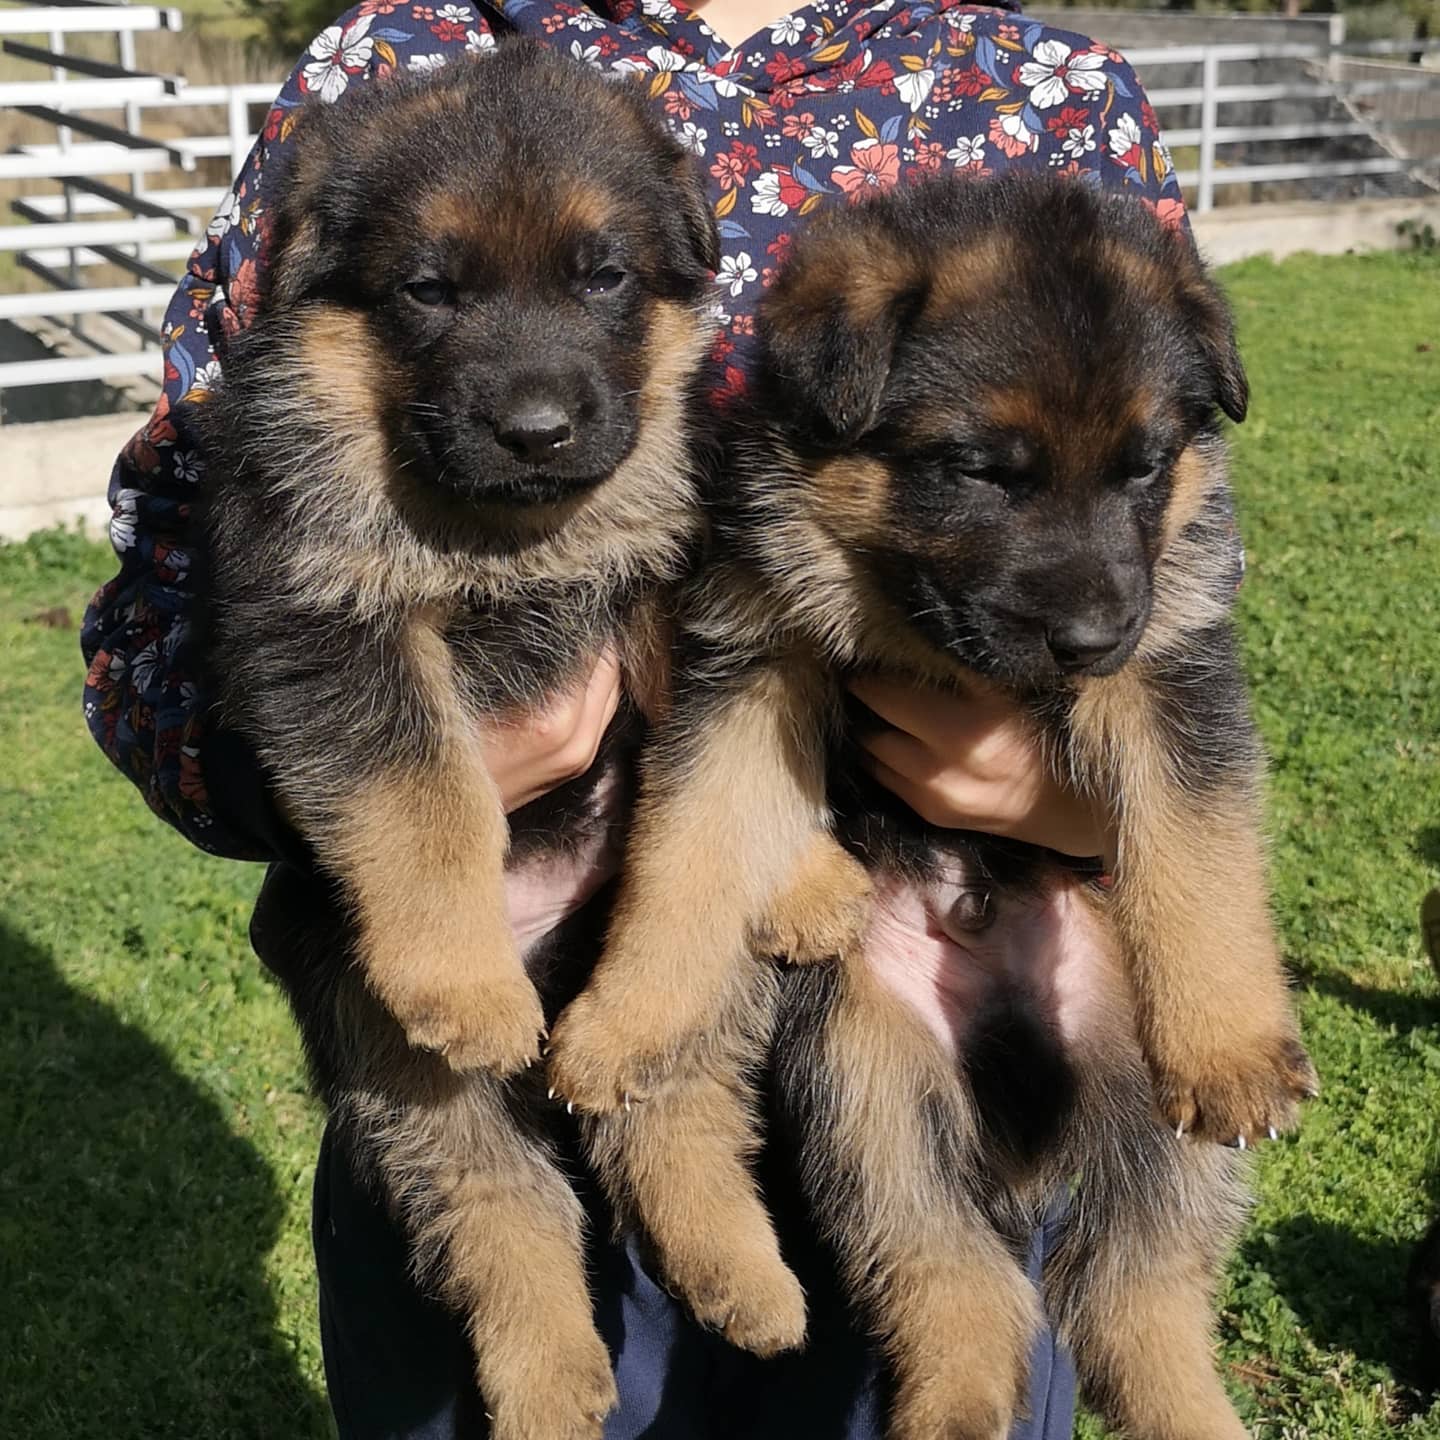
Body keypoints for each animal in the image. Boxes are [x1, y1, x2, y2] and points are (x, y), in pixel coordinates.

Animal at [200, 45, 717, 1440]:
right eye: (428, 290)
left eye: (603, 276)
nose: (538, 428)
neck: (507, 534)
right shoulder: (330, 625)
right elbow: (426, 796)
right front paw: (462, 977)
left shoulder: (660, 574)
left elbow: (721, 738)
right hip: (393, 1059)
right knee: (503, 1209)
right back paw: (554, 1379)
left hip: (619, 989)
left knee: (655, 1090)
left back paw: (734, 1267)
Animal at [544, 174, 1319, 1434]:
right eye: (983, 470)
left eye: (1145, 467)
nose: (1095, 638)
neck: (922, 635)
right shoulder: (746, 670)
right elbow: (688, 851)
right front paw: (628, 1020)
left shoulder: (1173, 672)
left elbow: (1197, 851)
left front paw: (1234, 1042)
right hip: (868, 1088)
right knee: (955, 1275)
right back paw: (949, 1400)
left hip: (1153, 1114)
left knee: (1133, 1291)